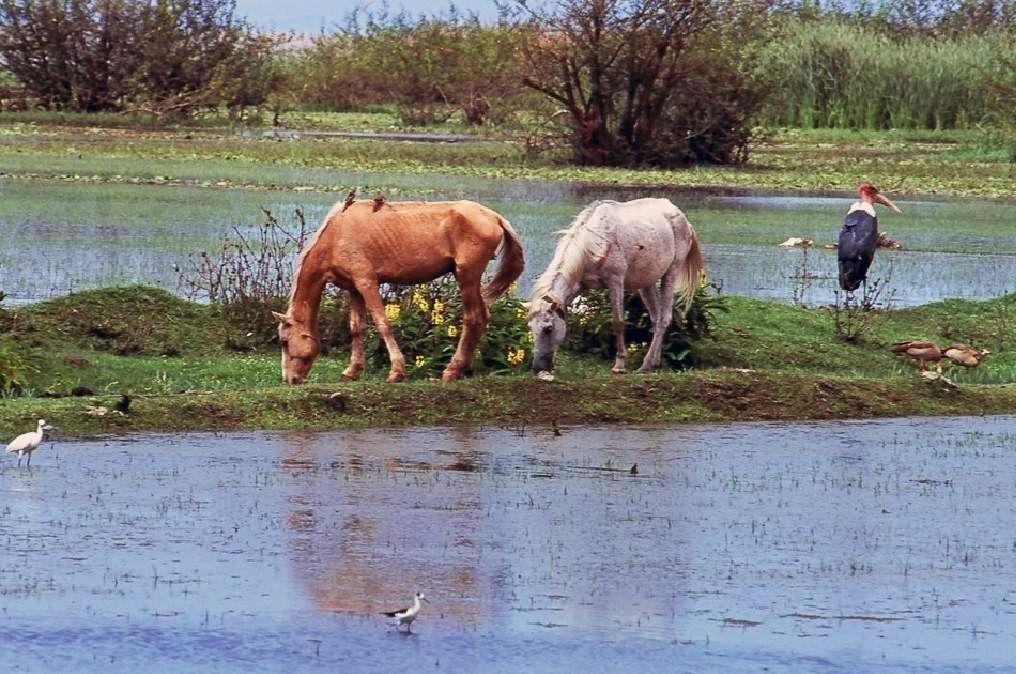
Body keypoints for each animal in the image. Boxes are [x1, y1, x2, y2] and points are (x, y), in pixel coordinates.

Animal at [274, 198, 524, 382]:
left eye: (284, 341)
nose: (290, 380)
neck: (337, 235)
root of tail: (495, 217)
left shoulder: (367, 282)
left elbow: (382, 324)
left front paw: (396, 371)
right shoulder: (353, 289)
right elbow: (357, 328)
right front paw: (352, 370)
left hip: (467, 276)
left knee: (473, 318)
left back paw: (452, 370)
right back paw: (464, 369)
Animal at [528, 198, 703, 376]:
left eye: (548, 329)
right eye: (530, 328)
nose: (538, 368)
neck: (595, 243)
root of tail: (683, 218)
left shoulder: (616, 282)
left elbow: (618, 322)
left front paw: (619, 364)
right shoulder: (578, 287)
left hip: (671, 273)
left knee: (664, 319)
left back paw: (647, 363)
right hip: (647, 282)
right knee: (656, 318)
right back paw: (652, 363)